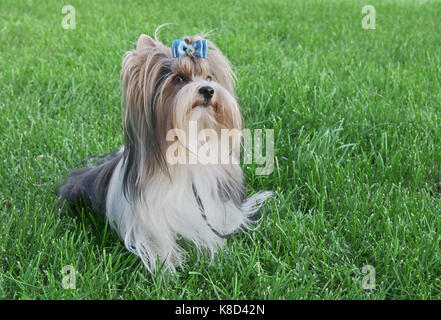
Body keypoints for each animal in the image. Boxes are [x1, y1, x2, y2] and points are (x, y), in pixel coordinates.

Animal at [57, 32, 272, 272]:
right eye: (178, 78)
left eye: (209, 77)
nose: (208, 90)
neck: (185, 145)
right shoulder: (149, 218)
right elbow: (159, 242)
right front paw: (165, 269)